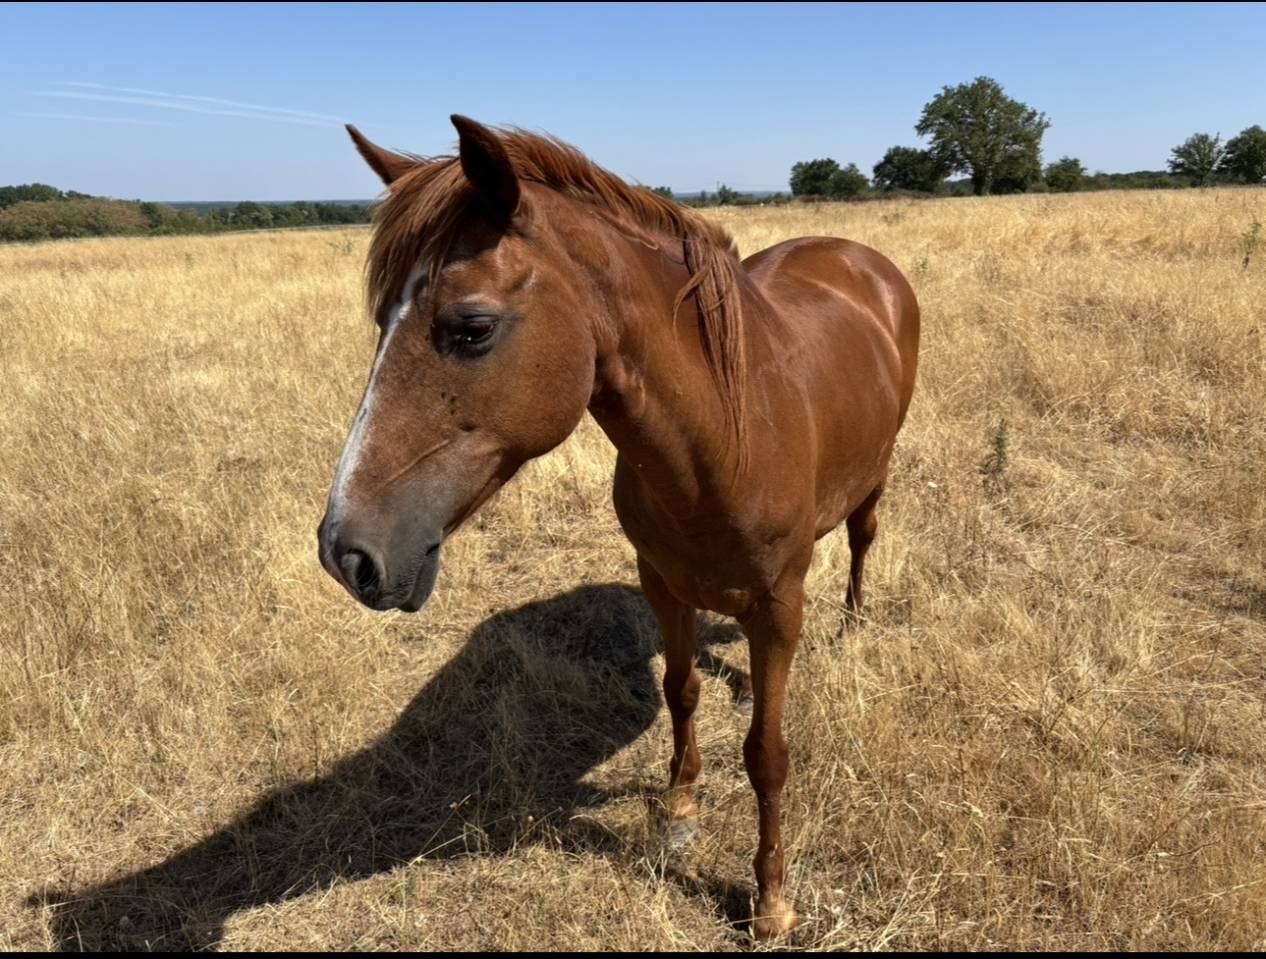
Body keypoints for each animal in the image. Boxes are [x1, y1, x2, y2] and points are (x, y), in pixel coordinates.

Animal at [317, 115, 920, 940]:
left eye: (471, 328)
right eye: (382, 322)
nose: (345, 552)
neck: (723, 436)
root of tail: (864, 260)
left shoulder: (777, 606)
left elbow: (767, 752)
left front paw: (770, 899)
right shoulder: (661, 582)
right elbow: (681, 688)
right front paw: (679, 804)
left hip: (876, 476)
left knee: (863, 537)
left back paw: (855, 625)